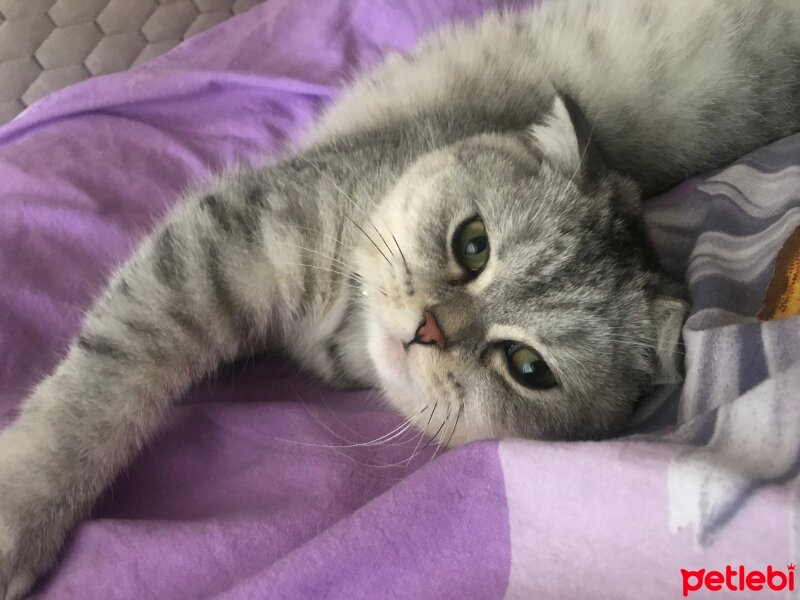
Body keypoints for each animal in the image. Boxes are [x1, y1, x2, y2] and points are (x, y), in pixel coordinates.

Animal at [1, 0, 800, 596]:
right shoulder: (224, 238)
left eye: (529, 368)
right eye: (473, 244)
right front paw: (20, 511)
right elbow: (103, 389)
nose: (429, 330)